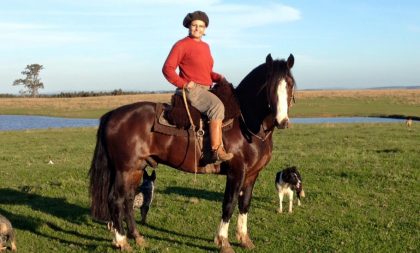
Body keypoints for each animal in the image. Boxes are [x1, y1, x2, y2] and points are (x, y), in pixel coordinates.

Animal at [89, 52, 296, 251]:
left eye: (290, 84)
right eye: (269, 86)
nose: (282, 121)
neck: (246, 124)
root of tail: (112, 114)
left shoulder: (252, 174)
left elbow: (245, 204)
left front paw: (244, 240)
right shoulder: (236, 173)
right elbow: (229, 204)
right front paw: (223, 241)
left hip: (137, 169)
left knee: (128, 199)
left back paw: (137, 237)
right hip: (124, 170)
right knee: (116, 200)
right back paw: (122, 242)